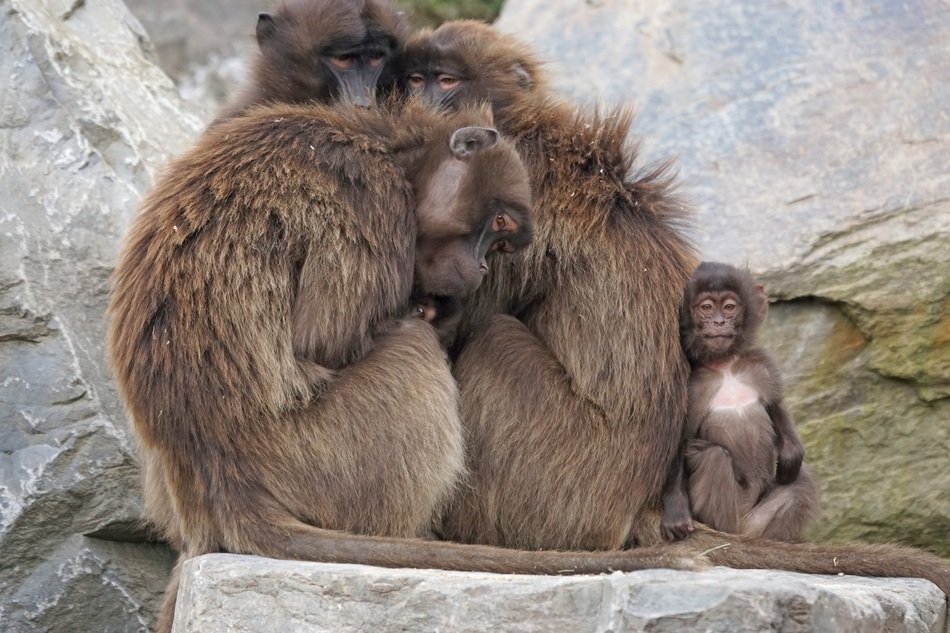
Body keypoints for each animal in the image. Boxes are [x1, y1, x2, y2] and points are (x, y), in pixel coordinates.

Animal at [660, 262, 820, 543]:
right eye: (706, 307)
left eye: (729, 307)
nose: (719, 322)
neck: (725, 367)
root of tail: (743, 528)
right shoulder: (692, 387)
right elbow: (681, 440)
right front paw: (676, 511)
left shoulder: (759, 366)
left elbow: (775, 406)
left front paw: (791, 453)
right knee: (714, 455)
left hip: (758, 519)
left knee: (800, 479)